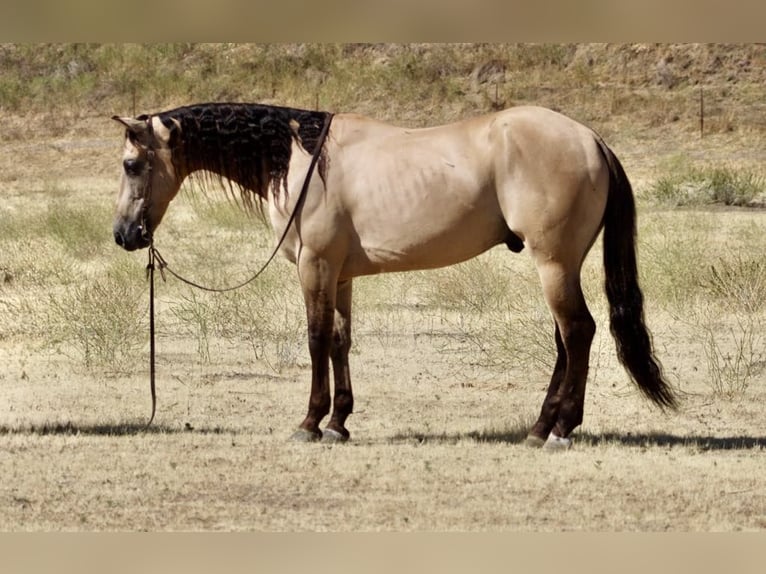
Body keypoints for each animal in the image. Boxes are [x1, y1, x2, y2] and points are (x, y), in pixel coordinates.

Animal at [112, 102, 676, 449]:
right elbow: (339, 341)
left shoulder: (316, 266)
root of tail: (591, 140)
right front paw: (339, 422)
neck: (302, 159)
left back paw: (559, 430)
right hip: (561, 265)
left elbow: (315, 338)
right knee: (566, 339)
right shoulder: (339, 274)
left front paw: (310, 422)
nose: (125, 234)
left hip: (553, 262)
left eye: (131, 165)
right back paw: (540, 425)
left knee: (577, 332)